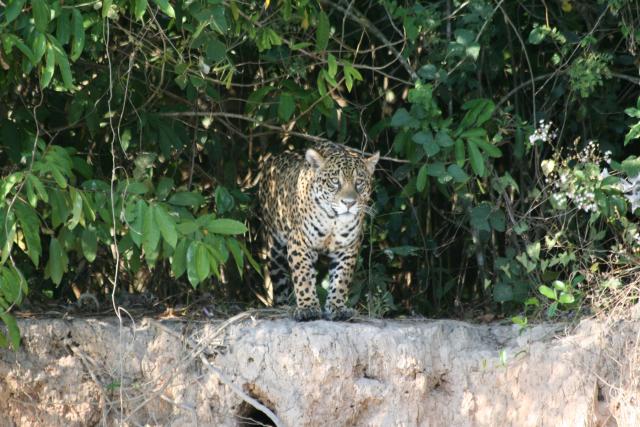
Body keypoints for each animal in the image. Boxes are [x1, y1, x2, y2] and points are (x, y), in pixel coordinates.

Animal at [258, 141, 379, 321]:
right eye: (335, 181)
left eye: (359, 182)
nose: (349, 203)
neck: (333, 221)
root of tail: (272, 159)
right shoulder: (299, 243)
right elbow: (303, 276)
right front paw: (308, 307)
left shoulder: (348, 248)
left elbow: (341, 279)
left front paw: (337, 308)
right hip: (275, 248)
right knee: (279, 279)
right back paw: (282, 306)